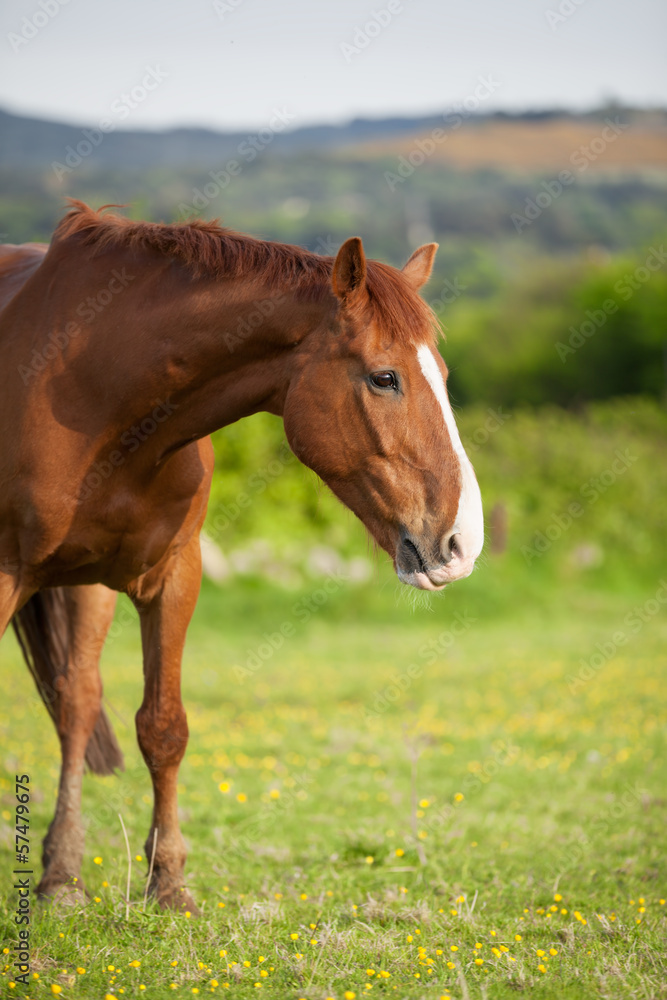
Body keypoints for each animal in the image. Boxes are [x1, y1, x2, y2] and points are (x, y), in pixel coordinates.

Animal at [0, 201, 483, 912]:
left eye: (443, 379)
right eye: (385, 377)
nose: (463, 541)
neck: (96, 395)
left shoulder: (174, 576)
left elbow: (163, 727)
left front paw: (169, 883)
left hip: (84, 584)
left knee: (76, 706)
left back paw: (61, 875)